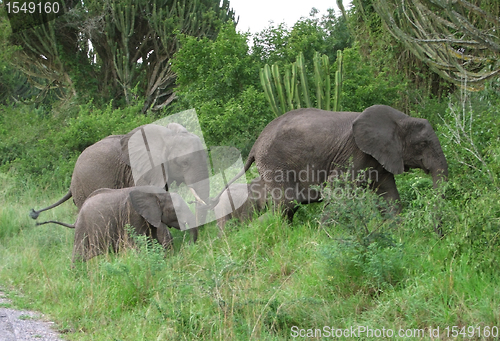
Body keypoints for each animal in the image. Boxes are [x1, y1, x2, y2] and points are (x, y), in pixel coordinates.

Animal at [58, 186, 197, 260]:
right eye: (176, 210)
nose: (188, 245)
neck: (155, 193)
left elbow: (152, 240)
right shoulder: (132, 214)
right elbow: (137, 242)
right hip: (83, 228)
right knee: (79, 254)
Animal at [221, 104, 448, 220]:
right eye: (423, 143)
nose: (439, 234)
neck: (400, 118)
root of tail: (255, 145)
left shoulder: (379, 157)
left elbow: (389, 195)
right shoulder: (354, 154)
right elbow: (337, 191)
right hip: (274, 163)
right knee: (286, 205)